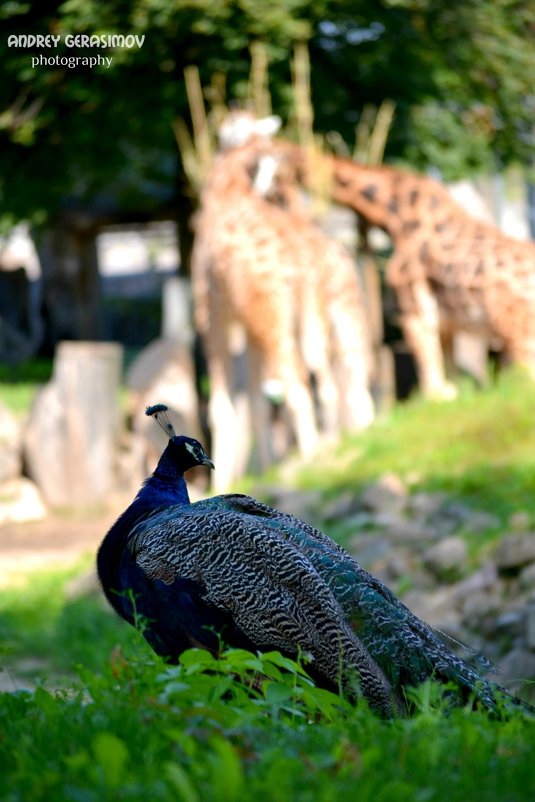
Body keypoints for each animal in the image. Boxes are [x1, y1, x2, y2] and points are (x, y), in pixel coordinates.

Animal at [192, 112, 372, 488]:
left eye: (225, 132)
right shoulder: (247, 325)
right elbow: (257, 402)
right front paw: (263, 470)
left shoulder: (212, 314)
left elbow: (221, 408)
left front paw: (222, 483)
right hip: (329, 311)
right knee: (346, 372)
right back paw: (345, 442)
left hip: (273, 313)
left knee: (301, 378)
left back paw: (313, 462)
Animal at [278, 143, 535, 396]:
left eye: (280, 164)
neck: (392, 208)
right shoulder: (444, 318)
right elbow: (449, 369)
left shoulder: (411, 305)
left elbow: (432, 380)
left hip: (517, 332)